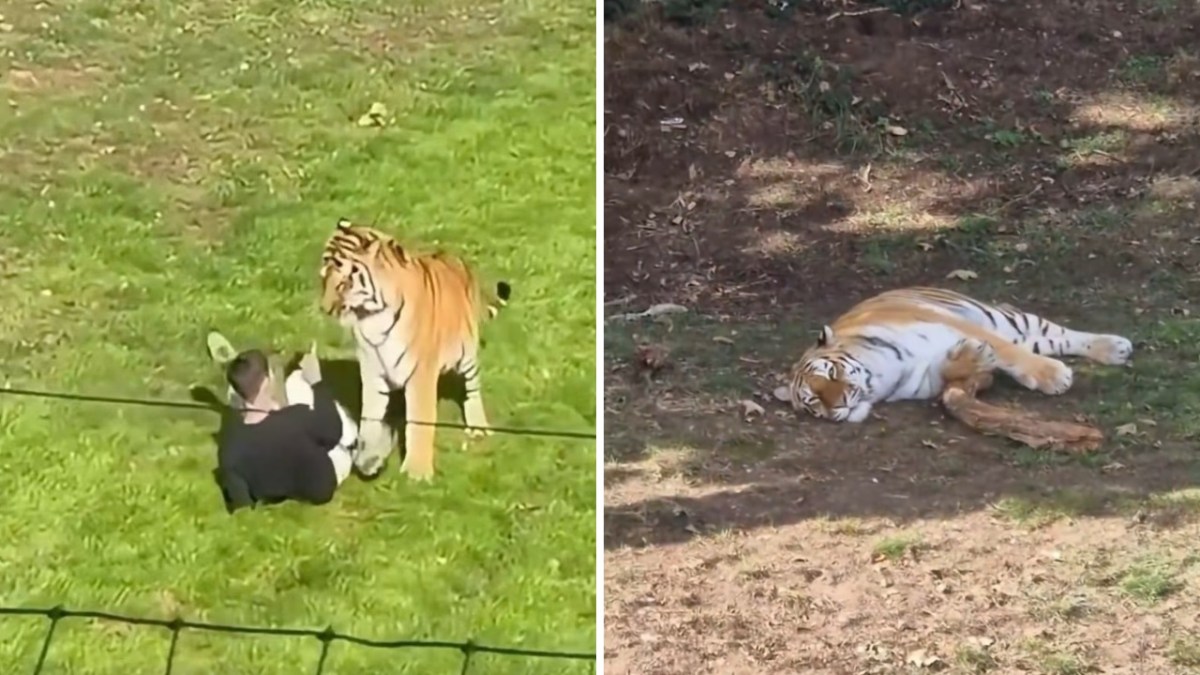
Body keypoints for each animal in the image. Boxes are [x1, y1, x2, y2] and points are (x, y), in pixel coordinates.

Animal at [319, 218, 512, 481]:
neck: (371, 318)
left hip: (467, 355)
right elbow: (370, 419)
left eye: (344, 282)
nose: (324, 308)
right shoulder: (372, 372)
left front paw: (417, 472)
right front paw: (368, 460)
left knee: (473, 389)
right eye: (323, 277)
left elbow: (419, 421)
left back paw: (478, 426)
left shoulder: (421, 373)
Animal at [782, 287, 1134, 423]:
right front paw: (971, 356)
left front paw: (1054, 376)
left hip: (1007, 319)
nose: (837, 406)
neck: (882, 380)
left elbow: (1006, 351)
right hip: (1022, 332)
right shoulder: (925, 379)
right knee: (1047, 342)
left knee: (1060, 334)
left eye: (831, 373)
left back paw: (1115, 346)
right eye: (813, 401)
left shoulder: (949, 322)